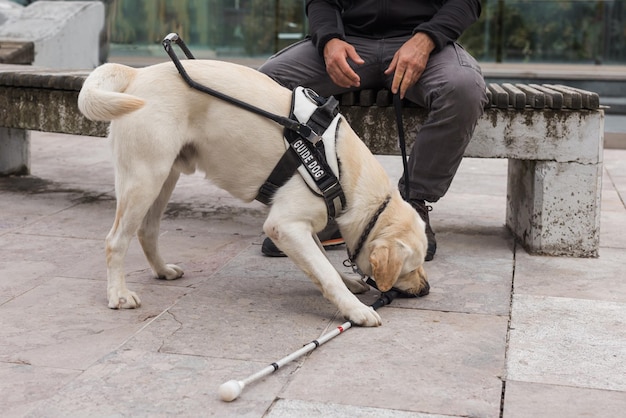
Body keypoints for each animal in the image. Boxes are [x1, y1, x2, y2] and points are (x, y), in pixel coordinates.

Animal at [77, 59, 428, 326]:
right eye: (411, 266)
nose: (425, 289)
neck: (340, 168)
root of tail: (137, 73)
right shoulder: (284, 226)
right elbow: (325, 271)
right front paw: (356, 310)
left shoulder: (300, 227)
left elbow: (321, 262)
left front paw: (349, 283)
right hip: (144, 178)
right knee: (116, 241)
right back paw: (119, 295)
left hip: (165, 177)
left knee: (146, 231)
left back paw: (162, 271)